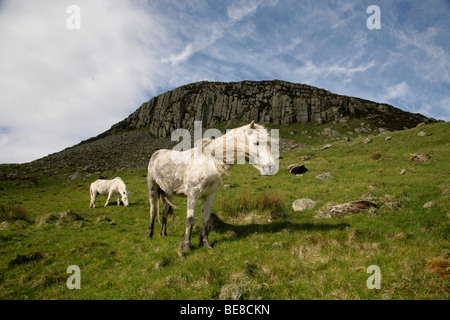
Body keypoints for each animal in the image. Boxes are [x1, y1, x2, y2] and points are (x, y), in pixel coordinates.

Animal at [147, 121, 278, 249]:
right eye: (256, 143)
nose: (270, 168)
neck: (209, 162)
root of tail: (156, 153)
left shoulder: (209, 195)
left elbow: (205, 219)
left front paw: (205, 244)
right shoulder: (193, 193)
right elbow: (190, 220)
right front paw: (186, 246)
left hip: (169, 194)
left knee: (164, 212)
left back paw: (163, 233)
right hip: (152, 187)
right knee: (153, 210)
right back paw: (149, 235)